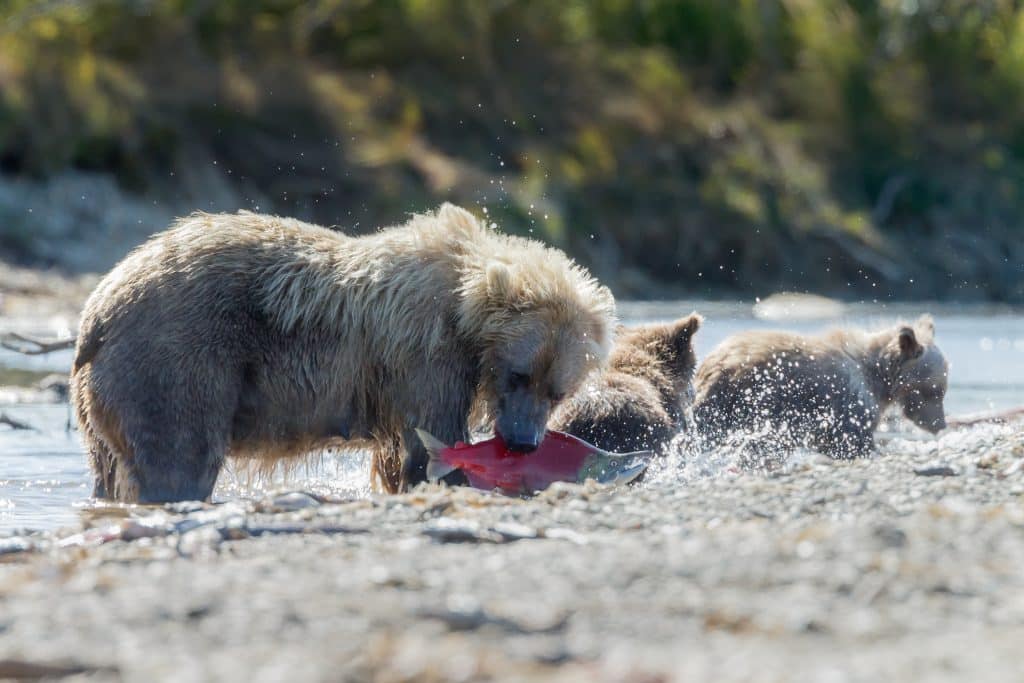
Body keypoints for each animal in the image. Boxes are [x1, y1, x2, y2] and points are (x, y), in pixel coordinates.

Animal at [69, 204, 616, 502]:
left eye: (558, 390)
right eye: (519, 375)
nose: (523, 442)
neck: (465, 315)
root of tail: (98, 307)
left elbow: (398, 455)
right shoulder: (423, 355)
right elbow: (432, 437)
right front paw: (453, 475)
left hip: (100, 400)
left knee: (108, 468)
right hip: (175, 357)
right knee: (179, 451)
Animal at [691, 315, 948, 460]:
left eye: (942, 389)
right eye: (935, 390)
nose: (940, 424)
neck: (878, 376)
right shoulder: (850, 401)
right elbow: (850, 440)